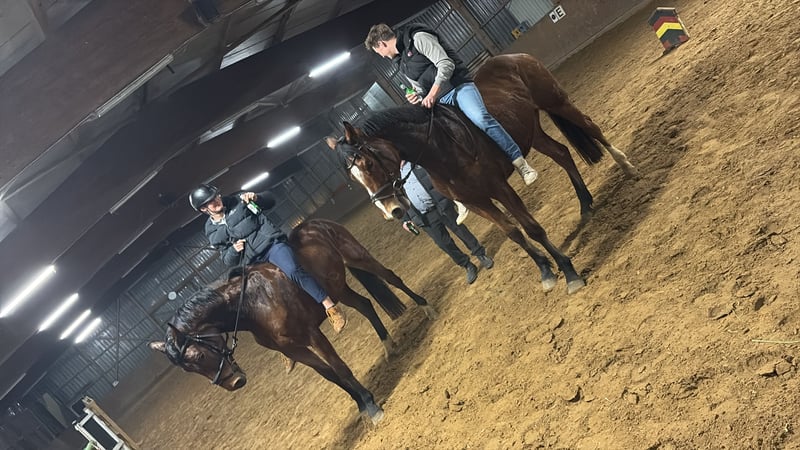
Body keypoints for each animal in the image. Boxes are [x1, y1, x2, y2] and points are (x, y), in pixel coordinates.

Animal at [326, 53, 638, 294]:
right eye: (353, 178)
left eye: (367, 163)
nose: (392, 211)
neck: (441, 149)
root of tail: (516, 57)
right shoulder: (477, 201)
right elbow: (513, 233)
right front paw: (546, 272)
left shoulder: (500, 188)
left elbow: (532, 229)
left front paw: (569, 273)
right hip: (530, 131)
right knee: (561, 153)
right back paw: (585, 205)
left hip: (556, 102)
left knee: (590, 127)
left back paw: (626, 166)